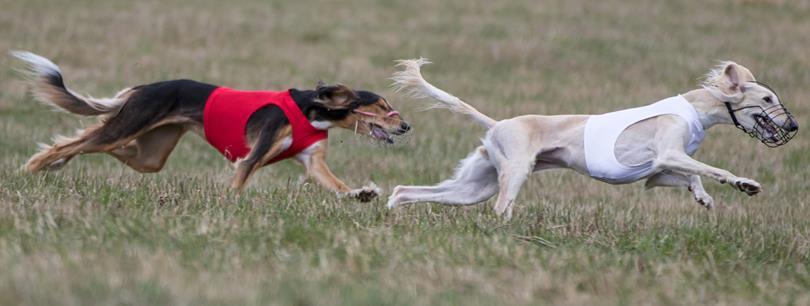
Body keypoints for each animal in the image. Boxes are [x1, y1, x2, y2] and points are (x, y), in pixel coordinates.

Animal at [11, 51, 404, 202]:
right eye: (383, 107)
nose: (406, 128)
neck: (312, 110)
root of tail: (143, 87)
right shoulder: (254, 155)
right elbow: (239, 181)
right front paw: (230, 205)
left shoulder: (312, 160)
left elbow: (336, 184)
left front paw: (362, 193)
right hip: (131, 123)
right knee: (76, 142)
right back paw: (32, 168)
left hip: (151, 153)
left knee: (95, 144)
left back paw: (55, 165)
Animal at [388, 59, 800, 218]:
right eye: (767, 99)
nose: (794, 126)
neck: (696, 107)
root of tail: (499, 123)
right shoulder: (668, 152)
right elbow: (711, 168)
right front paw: (745, 183)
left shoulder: (659, 172)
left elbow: (690, 175)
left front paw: (702, 197)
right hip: (515, 170)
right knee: (502, 206)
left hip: (475, 185)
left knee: (407, 191)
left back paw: (391, 207)